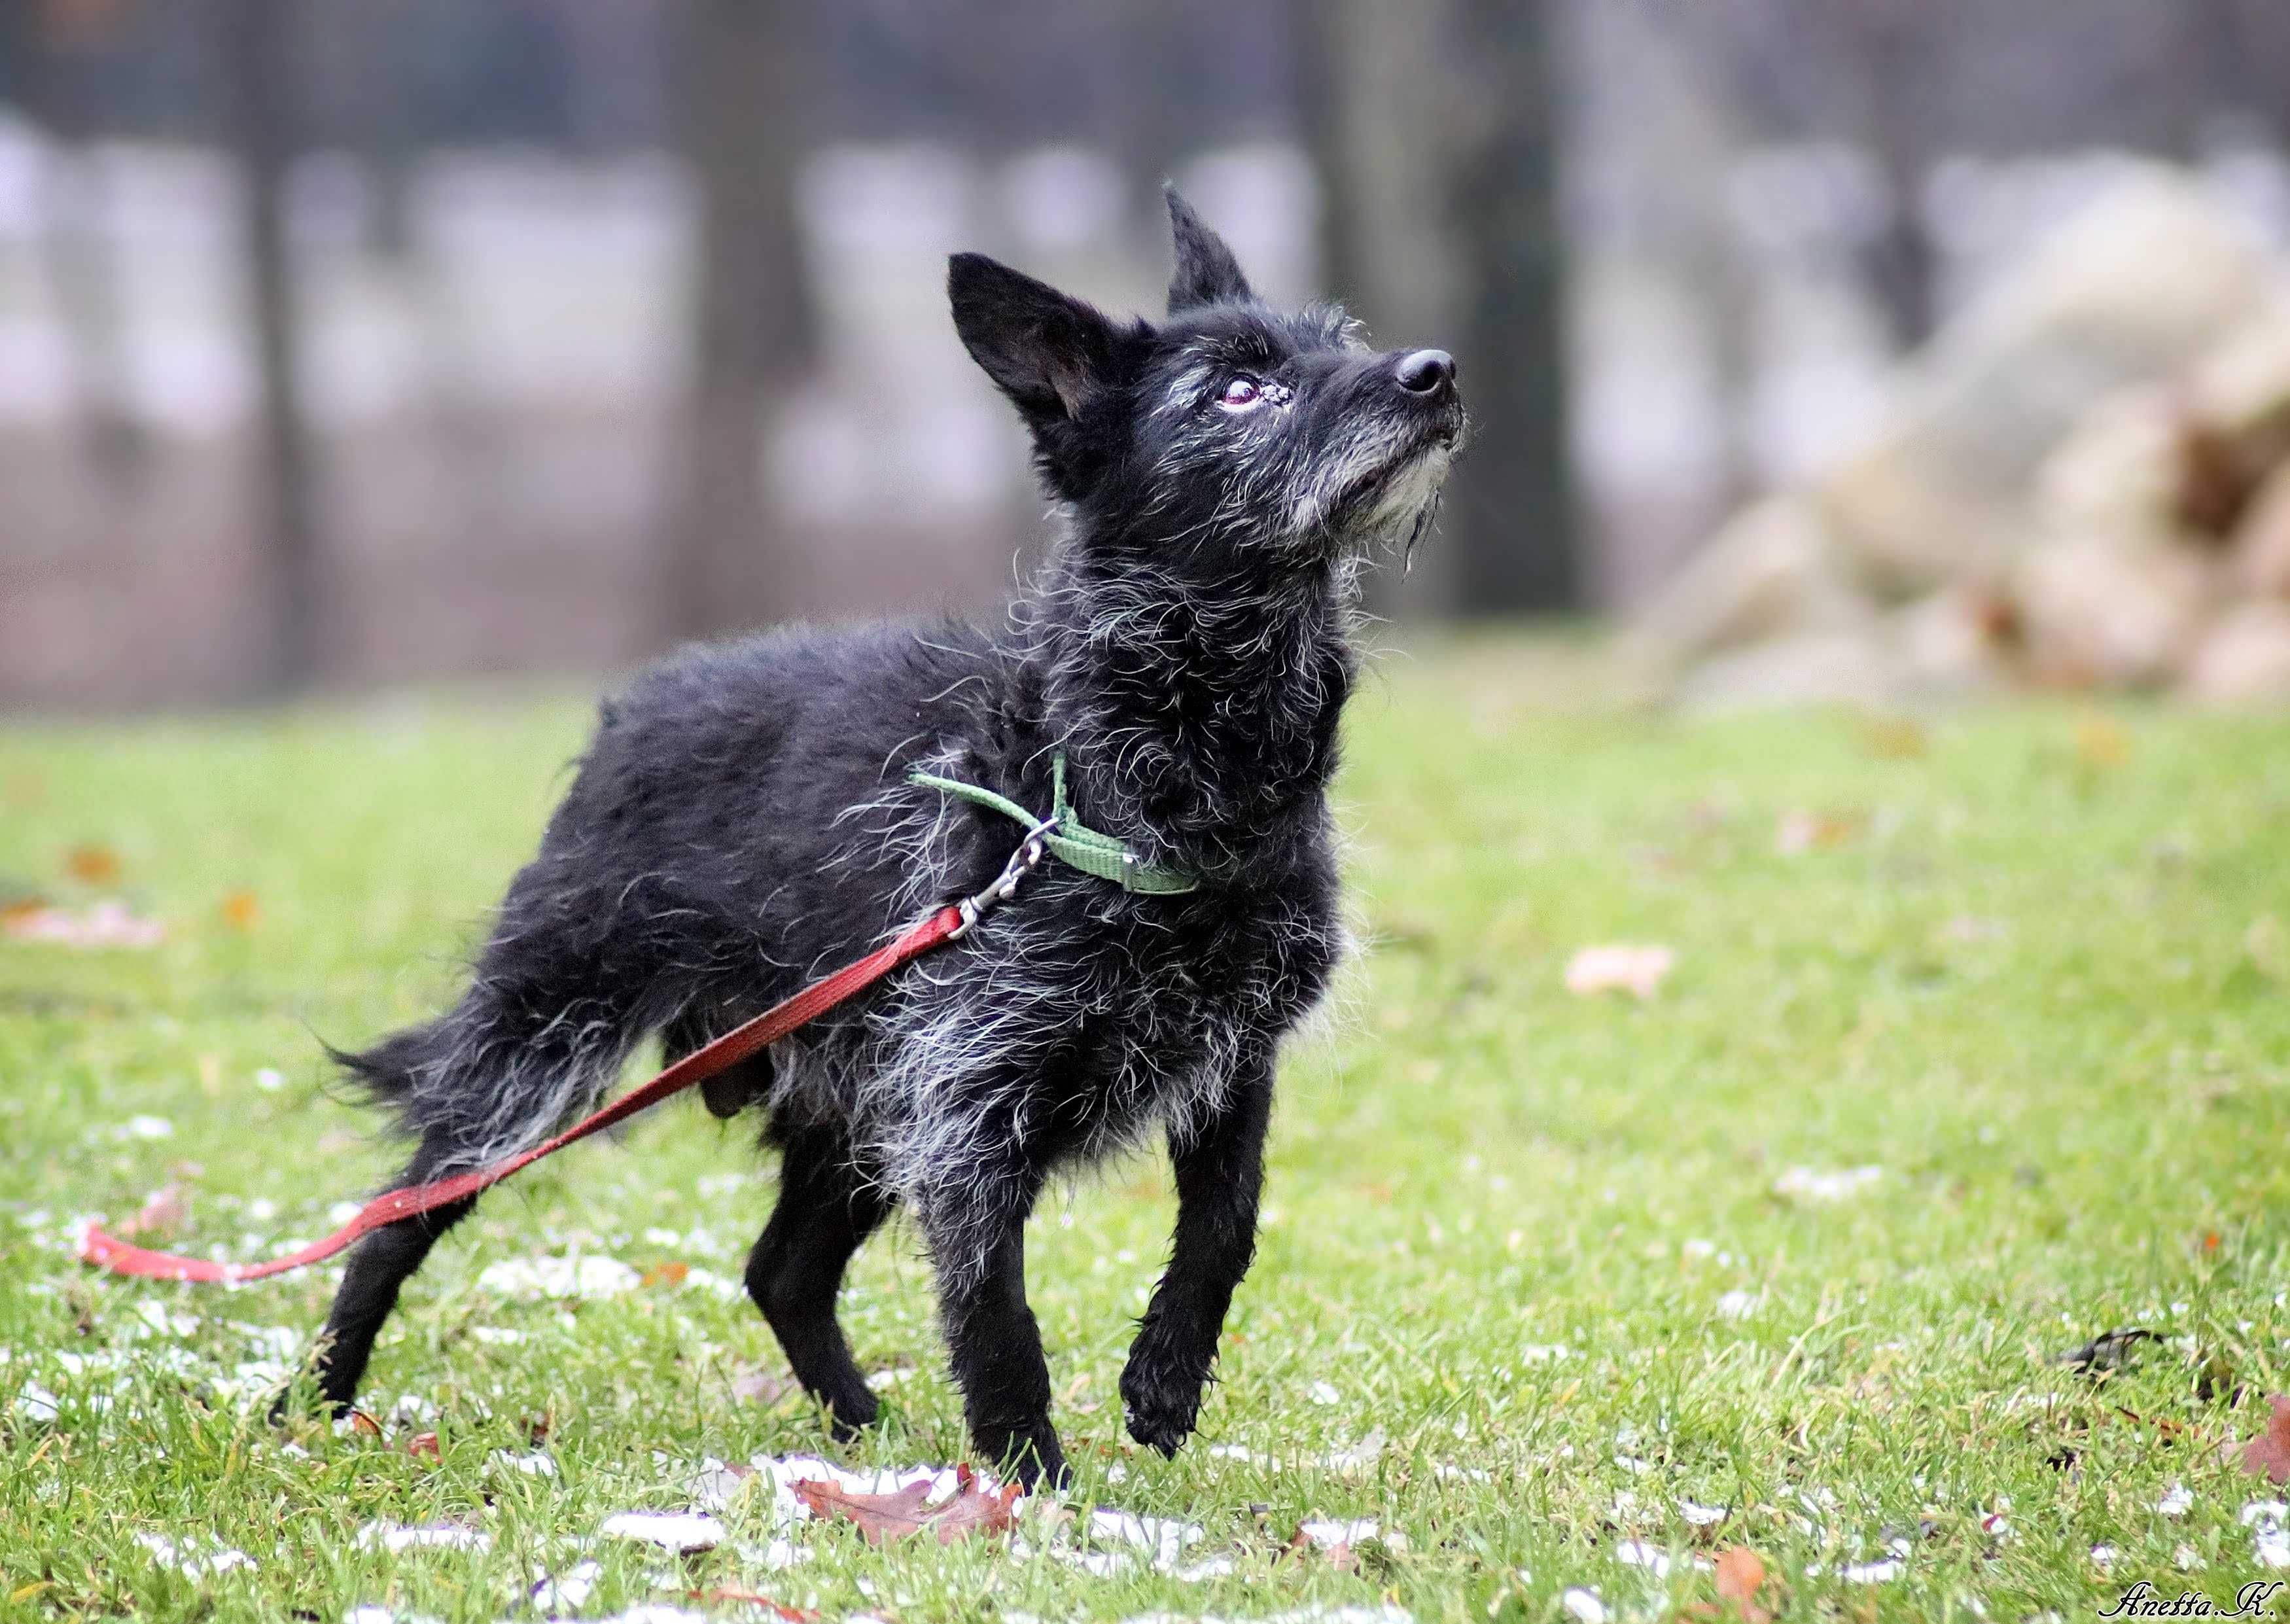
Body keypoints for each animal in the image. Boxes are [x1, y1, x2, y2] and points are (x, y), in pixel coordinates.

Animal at [304, 190, 1466, 1484]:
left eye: (1338, 338)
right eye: (1237, 390)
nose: (1433, 370)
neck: (1146, 764)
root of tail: (629, 714)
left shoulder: (1227, 1056)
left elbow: (1226, 1224)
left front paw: (1161, 1381)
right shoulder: (967, 1106)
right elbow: (995, 1309)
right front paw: (1033, 1481)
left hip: (854, 1099)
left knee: (781, 1270)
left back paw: (862, 1430)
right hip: (544, 1043)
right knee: (395, 1222)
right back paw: (318, 1404)